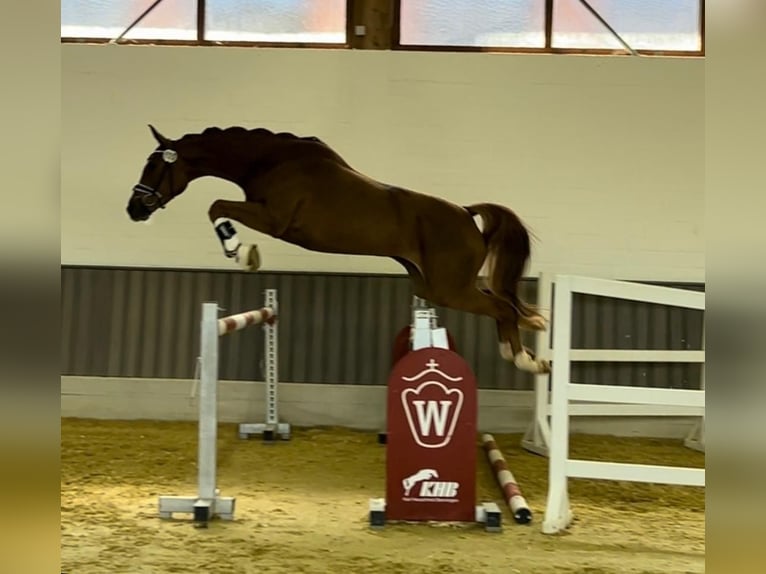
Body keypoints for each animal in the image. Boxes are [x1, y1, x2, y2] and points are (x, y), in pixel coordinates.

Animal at [126, 126, 548, 376]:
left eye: (153, 168)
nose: (134, 209)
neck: (271, 160)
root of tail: (465, 213)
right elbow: (217, 207)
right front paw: (243, 251)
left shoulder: (273, 219)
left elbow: (217, 206)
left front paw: (242, 252)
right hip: (433, 286)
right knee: (502, 303)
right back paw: (528, 349)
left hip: (449, 289)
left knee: (502, 307)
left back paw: (525, 360)